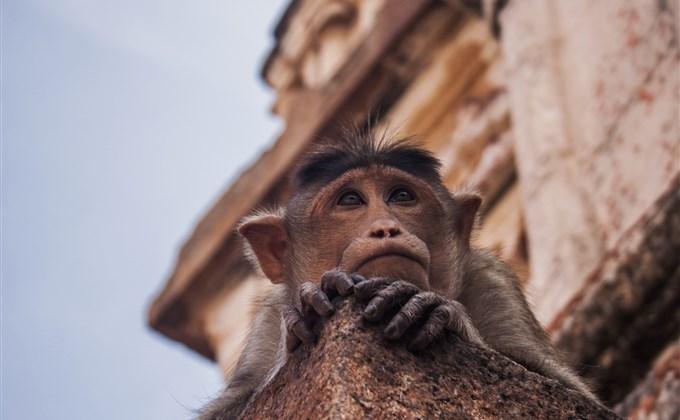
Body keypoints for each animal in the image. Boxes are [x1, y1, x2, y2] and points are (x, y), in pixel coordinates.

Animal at [199, 132, 596, 420]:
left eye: (401, 196)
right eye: (350, 200)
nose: (386, 228)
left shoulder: (492, 280)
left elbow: (568, 391)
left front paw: (430, 308)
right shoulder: (268, 314)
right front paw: (302, 317)